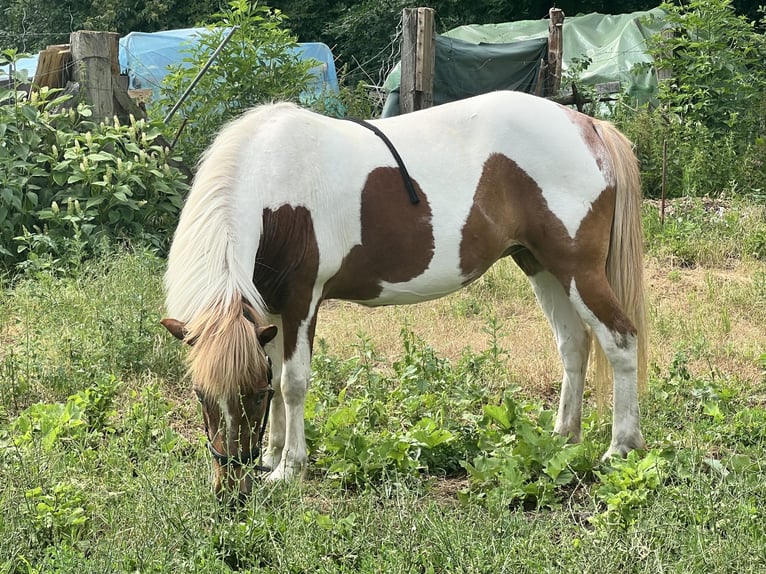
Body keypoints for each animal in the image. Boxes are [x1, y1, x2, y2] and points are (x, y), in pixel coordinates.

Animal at [161, 90, 647, 496]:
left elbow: (292, 381)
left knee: (619, 340)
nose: (231, 490)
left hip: (578, 270)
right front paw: (272, 456)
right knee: (574, 345)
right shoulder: (271, 307)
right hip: (540, 265)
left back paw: (620, 448)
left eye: (250, 396)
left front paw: (289, 468)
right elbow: (278, 377)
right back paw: (563, 437)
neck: (275, 183)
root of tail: (587, 125)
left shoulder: (302, 300)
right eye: (201, 395)